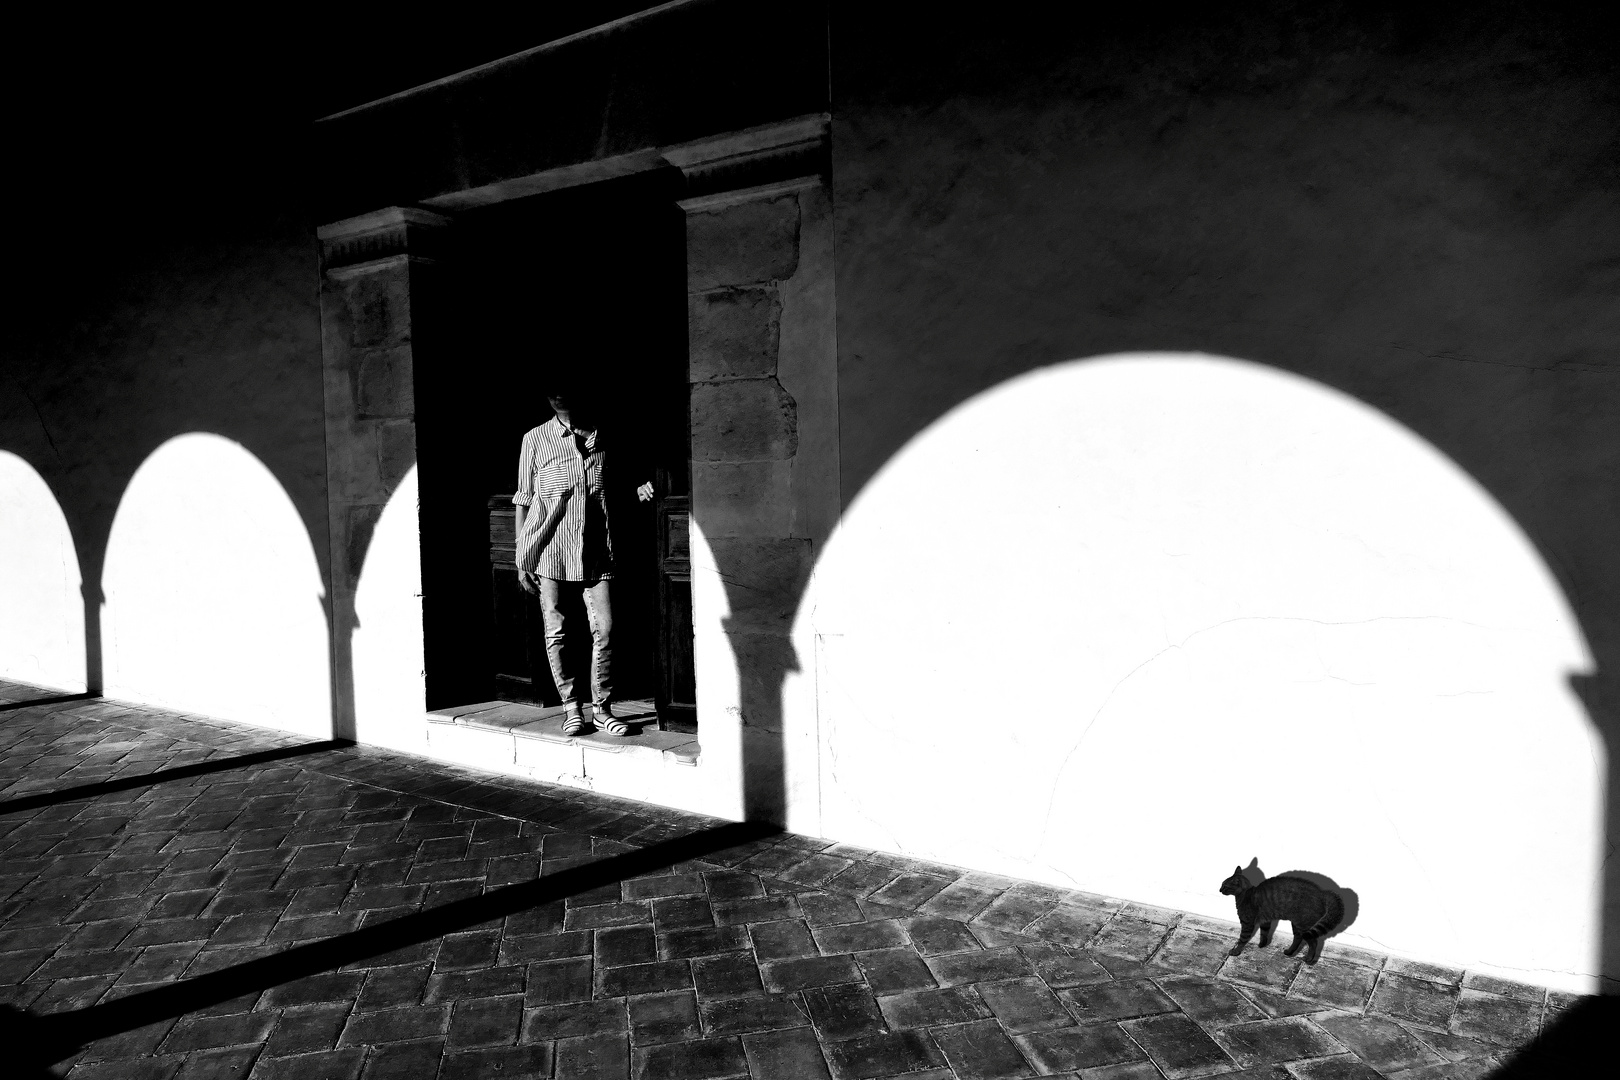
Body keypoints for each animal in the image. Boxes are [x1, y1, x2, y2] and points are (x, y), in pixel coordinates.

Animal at [1218, 867, 1347, 965]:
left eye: (1225, 885)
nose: (1219, 890)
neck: (1245, 894)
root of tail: (1322, 892)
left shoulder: (1247, 923)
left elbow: (1242, 939)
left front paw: (1235, 951)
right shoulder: (1266, 921)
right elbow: (1264, 933)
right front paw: (1262, 945)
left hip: (1303, 925)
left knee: (1313, 942)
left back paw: (1309, 960)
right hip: (1296, 924)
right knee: (1298, 938)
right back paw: (1289, 952)